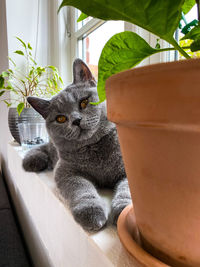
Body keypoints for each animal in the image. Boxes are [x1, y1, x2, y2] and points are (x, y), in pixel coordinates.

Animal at [22, 59, 131, 232]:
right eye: (60, 118)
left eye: (84, 102)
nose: (76, 120)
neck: (95, 150)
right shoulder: (66, 171)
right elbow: (81, 189)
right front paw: (91, 213)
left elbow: (127, 189)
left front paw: (123, 212)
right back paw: (33, 161)